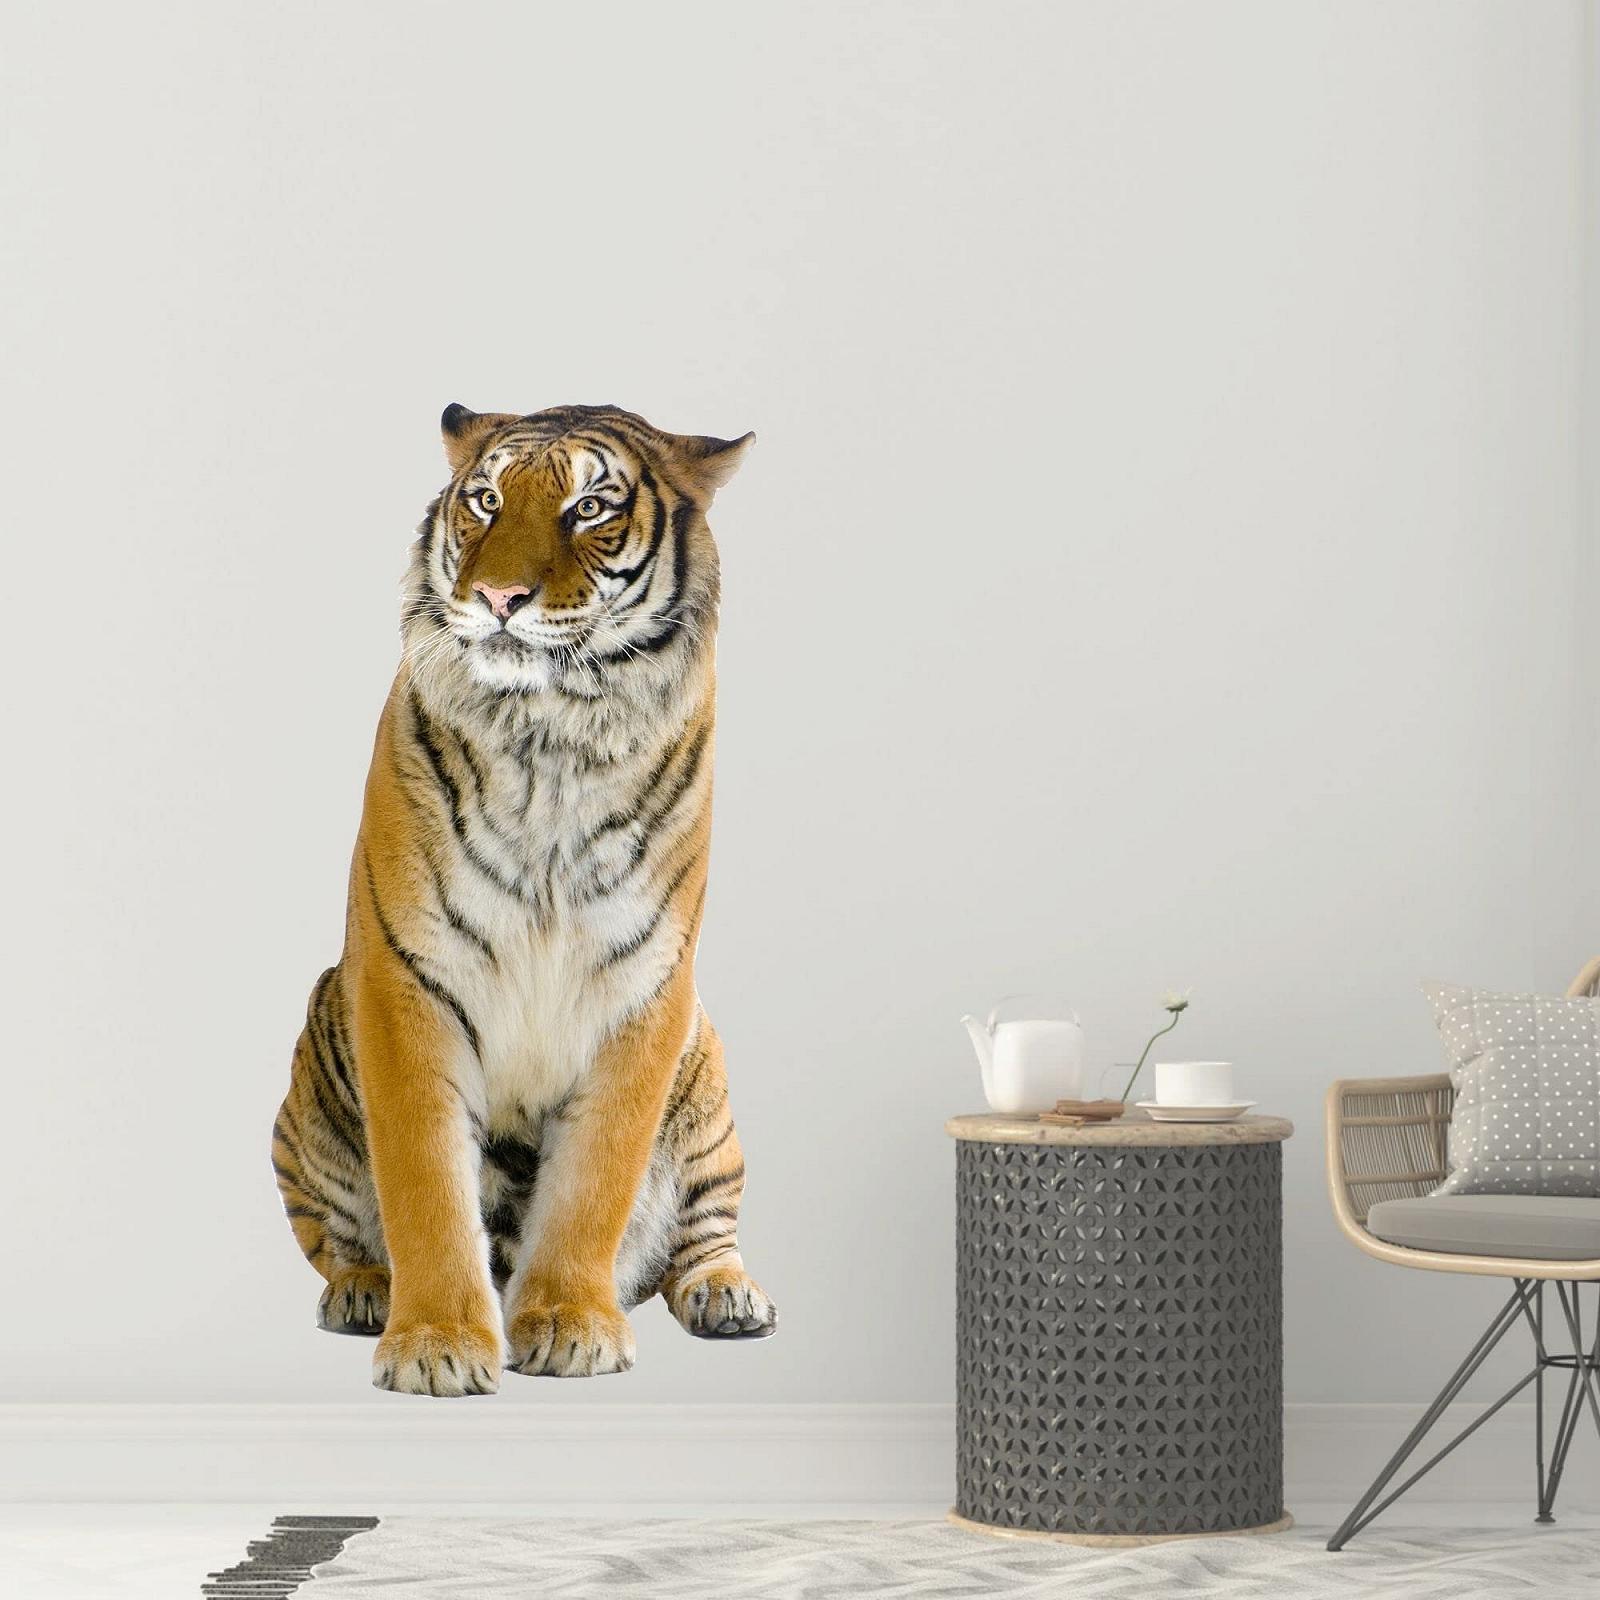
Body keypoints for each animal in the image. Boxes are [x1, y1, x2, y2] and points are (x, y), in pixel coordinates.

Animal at [271, 402, 775, 1396]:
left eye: (589, 507)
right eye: (486, 502)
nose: (499, 597)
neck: (551, 735)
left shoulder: (644, 991)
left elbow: (595, 1181)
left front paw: (571, 1325)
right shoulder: (406, 979)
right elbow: (424, 1183)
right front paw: (434, 1344)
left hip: (708, 1092)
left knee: (704, 1232)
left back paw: (729, 1297)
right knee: (335, 1236)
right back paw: (363, 1290)